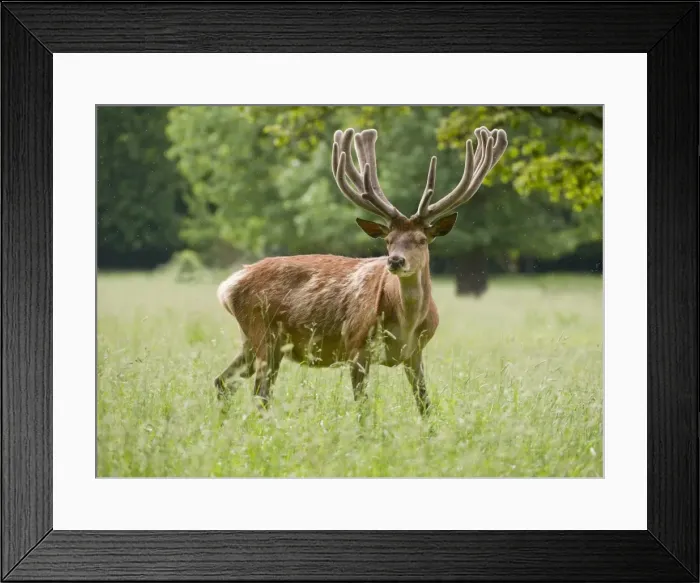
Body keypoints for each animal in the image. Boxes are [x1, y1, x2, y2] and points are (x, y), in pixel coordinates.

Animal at [215, 125, 508, 415]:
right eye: (388, 240)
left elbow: (425, 404)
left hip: (251, 340)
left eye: (422, 240)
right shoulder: (356, 346)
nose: (395, 261)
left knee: (223, 381)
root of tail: (229, 285)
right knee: (259, 394)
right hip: (263, 334)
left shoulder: (415, 353)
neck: (406, 325)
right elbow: (363, 409)